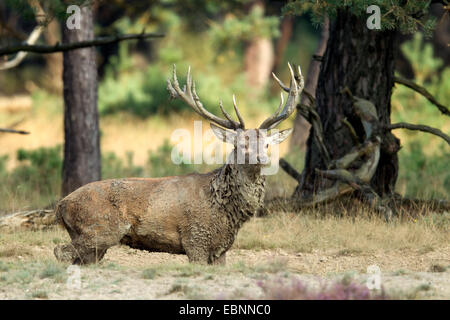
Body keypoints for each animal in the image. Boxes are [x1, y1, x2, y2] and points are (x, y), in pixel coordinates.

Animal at [54, 63, 304, 264]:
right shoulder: (196, 239)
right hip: (100, 229)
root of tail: (61, 206)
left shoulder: (221, 250)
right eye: (239, 144)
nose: (262, 159)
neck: (224, 212)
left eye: (267, 144)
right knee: (60, 251)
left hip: (93, 241)